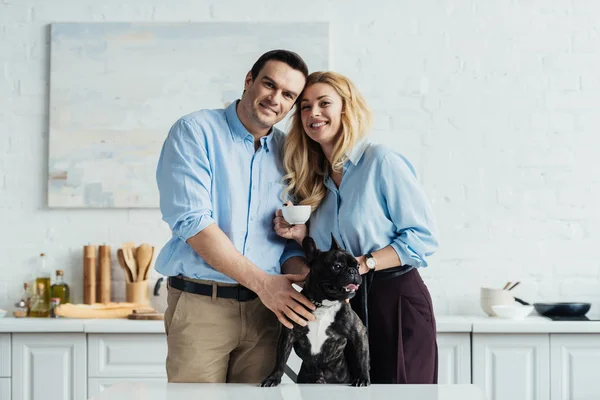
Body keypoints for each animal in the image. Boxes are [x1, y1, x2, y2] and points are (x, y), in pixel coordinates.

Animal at [262, 236, 370, 386]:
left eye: (358, 266)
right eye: (337, 266)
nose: (353, 271)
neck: (323, 305)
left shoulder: (359, 332)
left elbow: (362, 358)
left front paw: (363, 378)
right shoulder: (288, 335)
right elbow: (281, 359)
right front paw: (274, 377)